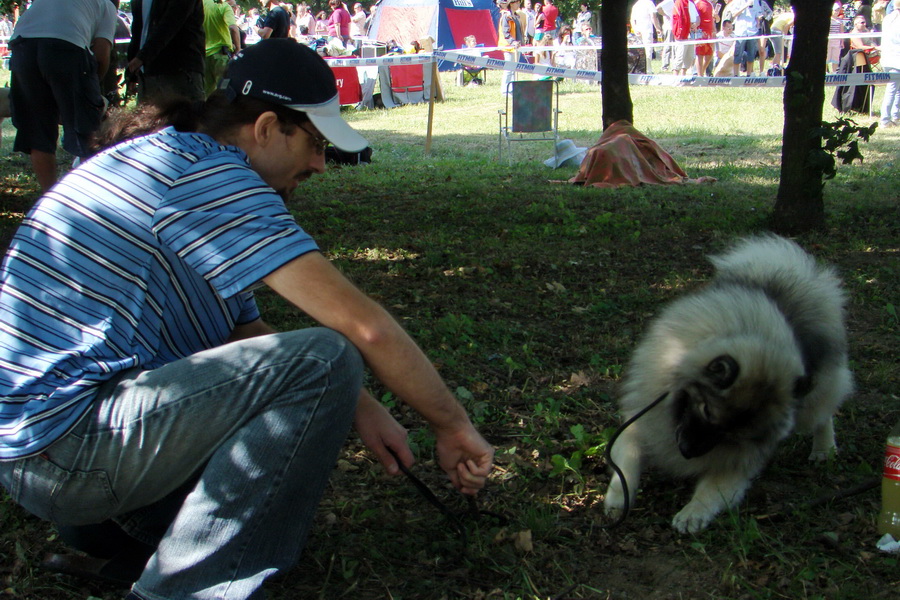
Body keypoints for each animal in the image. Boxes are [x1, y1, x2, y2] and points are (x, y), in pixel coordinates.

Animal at [604, 232, 852, 532]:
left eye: (731, 434)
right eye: (706, 410)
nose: (688, 452)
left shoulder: (738, 459)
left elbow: (714, 488)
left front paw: (693, 513)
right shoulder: (639, 421)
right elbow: (627, 464)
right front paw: (618, 501)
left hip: (812, 399)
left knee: (823, 415)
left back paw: (824, 449)